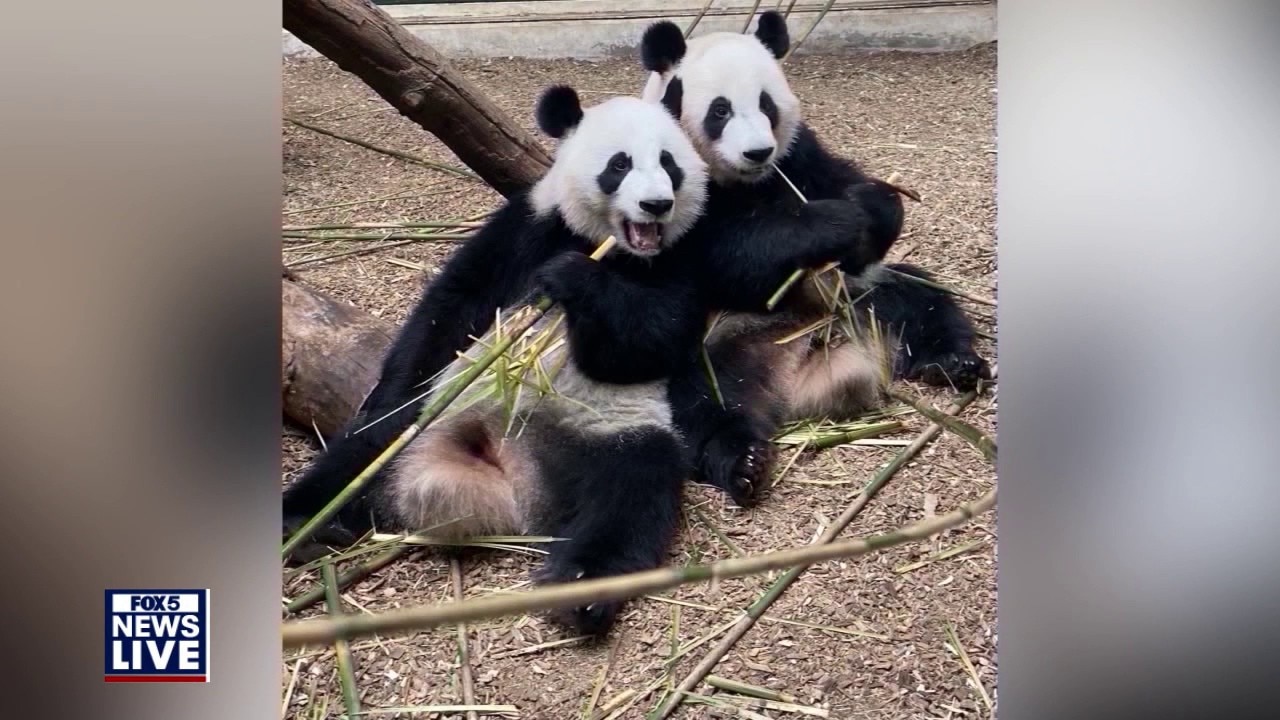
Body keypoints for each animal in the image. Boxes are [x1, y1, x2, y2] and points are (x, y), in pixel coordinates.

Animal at [282, 86, 711, 636]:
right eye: (620, 164)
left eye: (669, 163)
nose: (657, 205)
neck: (607, 245)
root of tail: (512, 476)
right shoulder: (527, 225)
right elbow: (452, 307)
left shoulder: (684, 257)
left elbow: (655, 334)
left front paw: (572, 279)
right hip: (425, 424)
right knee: (361, 450)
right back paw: (303, 524)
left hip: (611, 429)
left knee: (634, 487)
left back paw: (579, 589)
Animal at [638, 11, 992, 507]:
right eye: (720, 110)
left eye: (766, 104)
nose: (757, 152)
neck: (746, 181)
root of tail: (801, 371)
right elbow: (727, 255)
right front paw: (832, 223)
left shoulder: (797, 152)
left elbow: (841, 180)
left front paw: (869, 206)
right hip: (711, 343)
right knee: (698, 400)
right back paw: (743, 462)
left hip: (863, 298)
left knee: (922, 301)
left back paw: (954, 363)